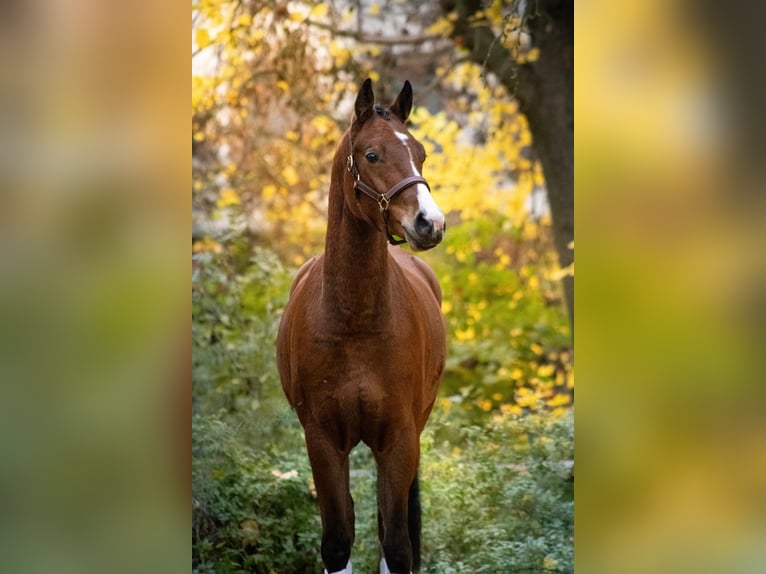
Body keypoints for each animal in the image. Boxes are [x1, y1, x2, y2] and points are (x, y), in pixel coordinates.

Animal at [276, 79, 447, 574]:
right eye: (372, 155)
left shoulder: (400, 439)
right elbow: (337, 539)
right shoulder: (322, 440)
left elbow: (397, 545)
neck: (354, 321)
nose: (430, 223)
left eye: (421, 154)